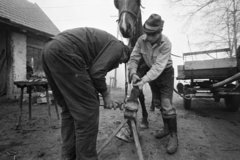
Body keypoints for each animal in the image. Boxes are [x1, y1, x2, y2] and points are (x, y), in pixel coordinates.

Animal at [113, 0, 153, 128]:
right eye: (117, 3)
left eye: (137, 2)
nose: (125, 27)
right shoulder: (132, 71)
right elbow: (140, 95)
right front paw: (144, 118)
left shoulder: (143, 69)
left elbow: (137, 89)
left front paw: (144, 118)